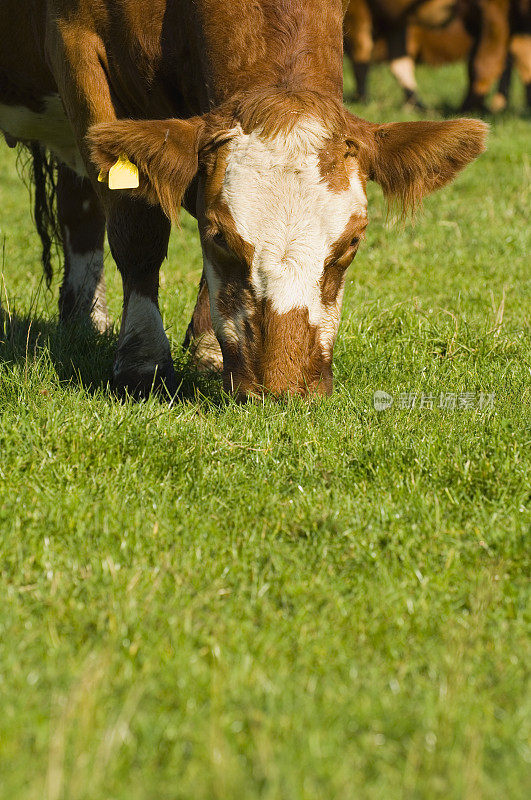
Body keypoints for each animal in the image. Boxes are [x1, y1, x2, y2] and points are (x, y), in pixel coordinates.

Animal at [0, 0, 488, 400]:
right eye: (219, 236)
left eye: (353, 241)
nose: (283, 384)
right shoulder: (76, 44)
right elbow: (136, 224)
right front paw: (143, 361)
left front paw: (208, 350)